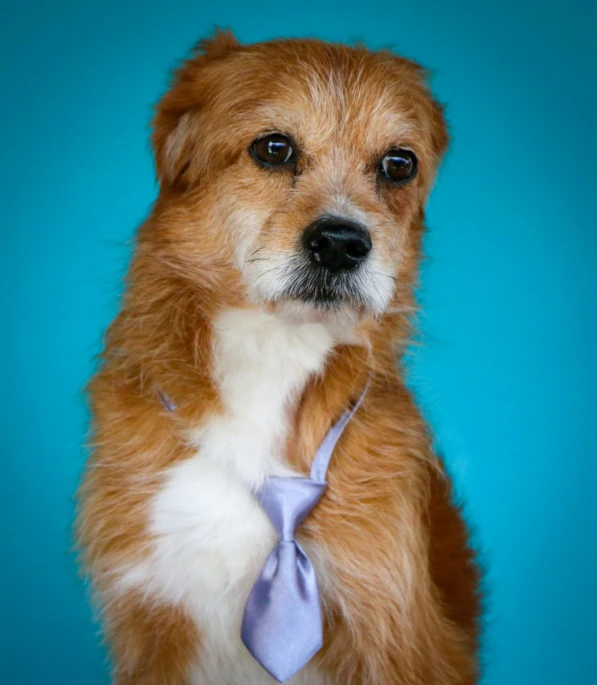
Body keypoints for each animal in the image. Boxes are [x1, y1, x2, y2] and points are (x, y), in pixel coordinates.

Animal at [77, 29, 482, 680]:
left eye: (399, 164)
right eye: (273, 148)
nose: (341, 244)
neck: (273, 350)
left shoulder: (390, 628)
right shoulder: (152, 619)